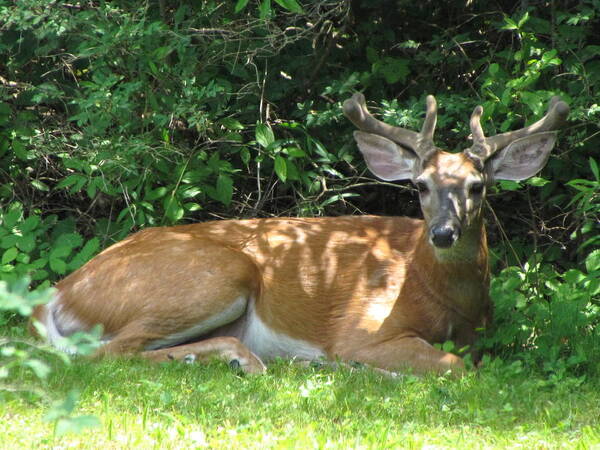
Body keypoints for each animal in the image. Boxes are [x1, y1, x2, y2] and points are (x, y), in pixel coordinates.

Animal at [30, 94, 568, 376]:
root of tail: (60, 292)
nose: (443, 233)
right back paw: (246, 360)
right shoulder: (363, 327)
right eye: (420, 185)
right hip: (215, 275)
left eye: (478, 186)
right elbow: (456, 365)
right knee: (107, 353)